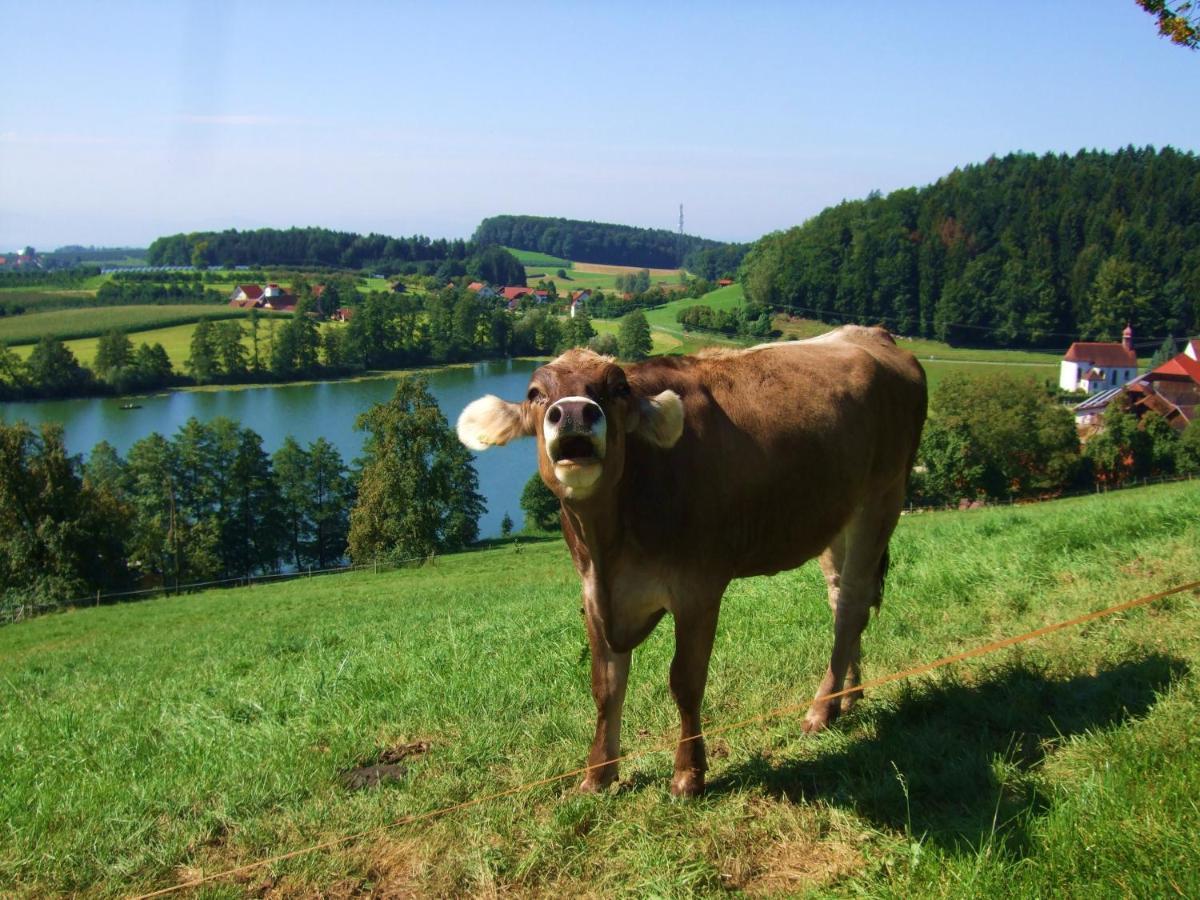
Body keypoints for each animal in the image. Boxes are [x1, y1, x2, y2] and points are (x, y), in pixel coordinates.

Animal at [458, 326, 926, 796]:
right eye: (535, 393)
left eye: (618, 388)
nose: (573, 412)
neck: (611, 545)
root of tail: (872, 334)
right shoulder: (592, 592)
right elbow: (605, 684)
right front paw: (597, 774)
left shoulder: (697, 588)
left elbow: (684, 681)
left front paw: (688, 774)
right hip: (836, 515)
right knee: (842, 598)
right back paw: (848, 695)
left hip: (882, 497)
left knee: (852, 605)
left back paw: (821, 710)